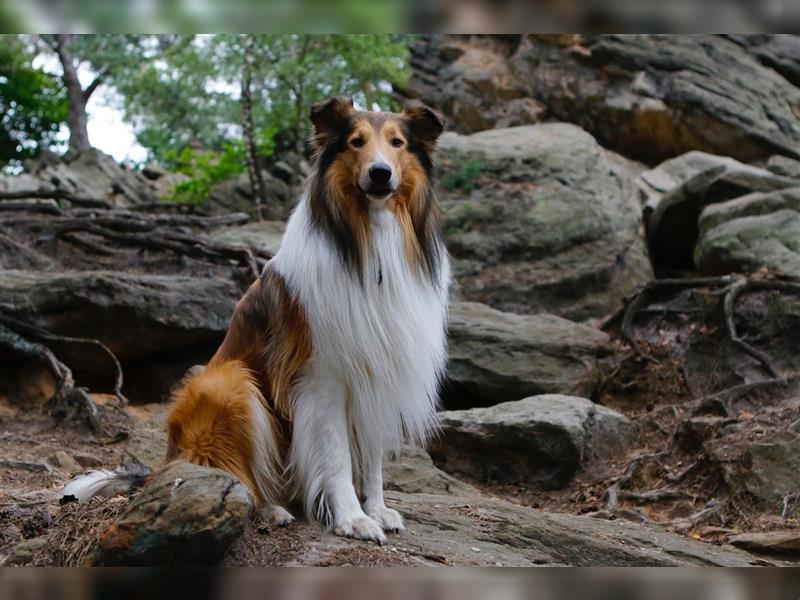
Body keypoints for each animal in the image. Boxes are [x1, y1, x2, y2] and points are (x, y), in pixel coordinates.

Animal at [64, 97, 450, 544]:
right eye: (356, 142)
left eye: (397, 142)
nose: (380, 173)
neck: (369, 243)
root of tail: (165, 461)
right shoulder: (323, 377)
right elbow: (336, 456)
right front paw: (351, 518)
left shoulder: (378, 372)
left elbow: (371, 461)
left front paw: (377, 509)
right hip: (227, 383)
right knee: (236, 475)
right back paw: (269, 508)